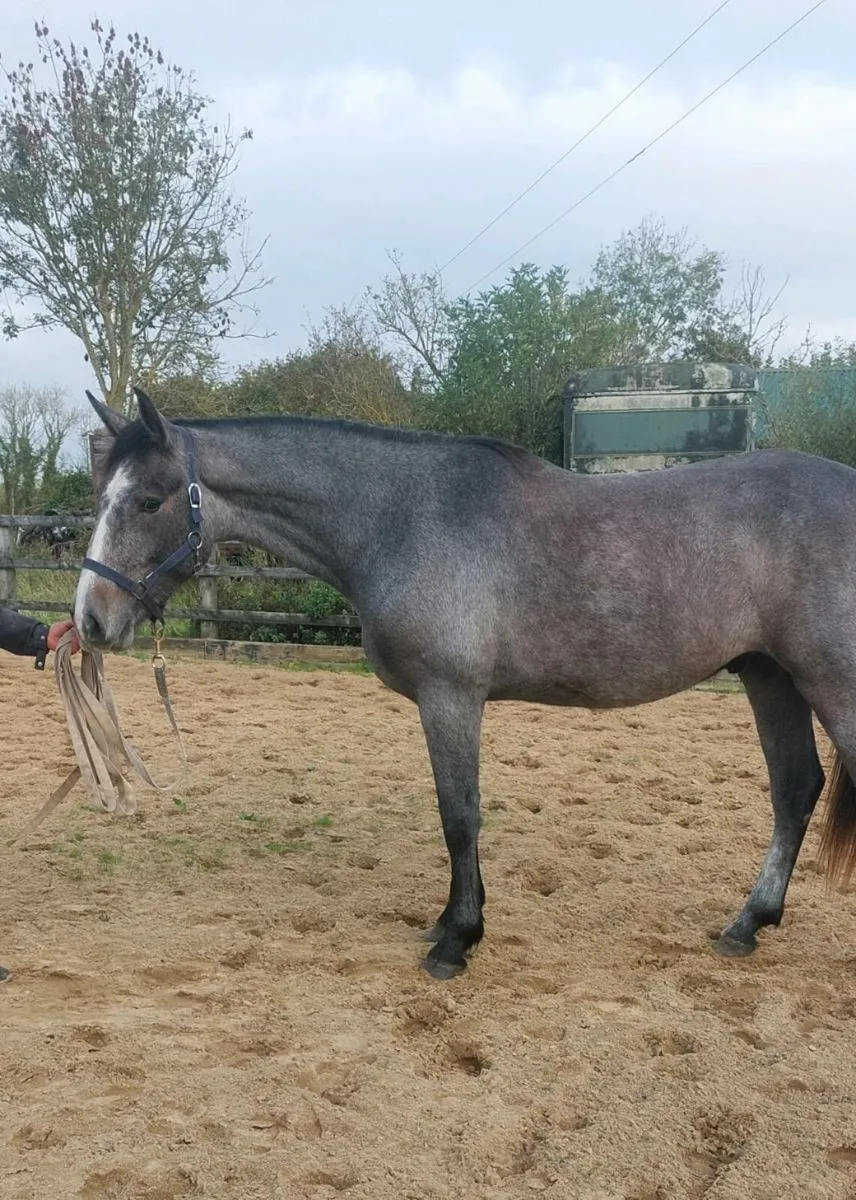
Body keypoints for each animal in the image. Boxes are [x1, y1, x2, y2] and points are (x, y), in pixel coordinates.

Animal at [72, 387, 856, 980]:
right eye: (100, 493)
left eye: (150, 499)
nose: (89, 619)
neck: (400, 519)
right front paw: (452, 922)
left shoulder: (450, 696)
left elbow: (460, 815)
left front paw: (458, 941)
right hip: (770, 676)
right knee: (794, 789)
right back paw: (747, 924)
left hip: (827, 682)